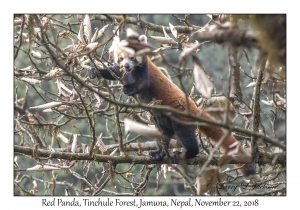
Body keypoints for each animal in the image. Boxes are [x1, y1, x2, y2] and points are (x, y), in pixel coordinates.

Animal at [89, 33, 255, 176]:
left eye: (132, 57)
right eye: (121, 58)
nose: (127, 65)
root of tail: (194, 108)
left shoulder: (145, 71)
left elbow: (142, 85)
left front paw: (130, 89)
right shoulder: (122, 72)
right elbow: (113, 72)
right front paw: (95, 71)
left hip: (180, 117)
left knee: (186, 136)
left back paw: (187, 153)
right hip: (162, 122)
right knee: (162, 135)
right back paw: (159, 153)